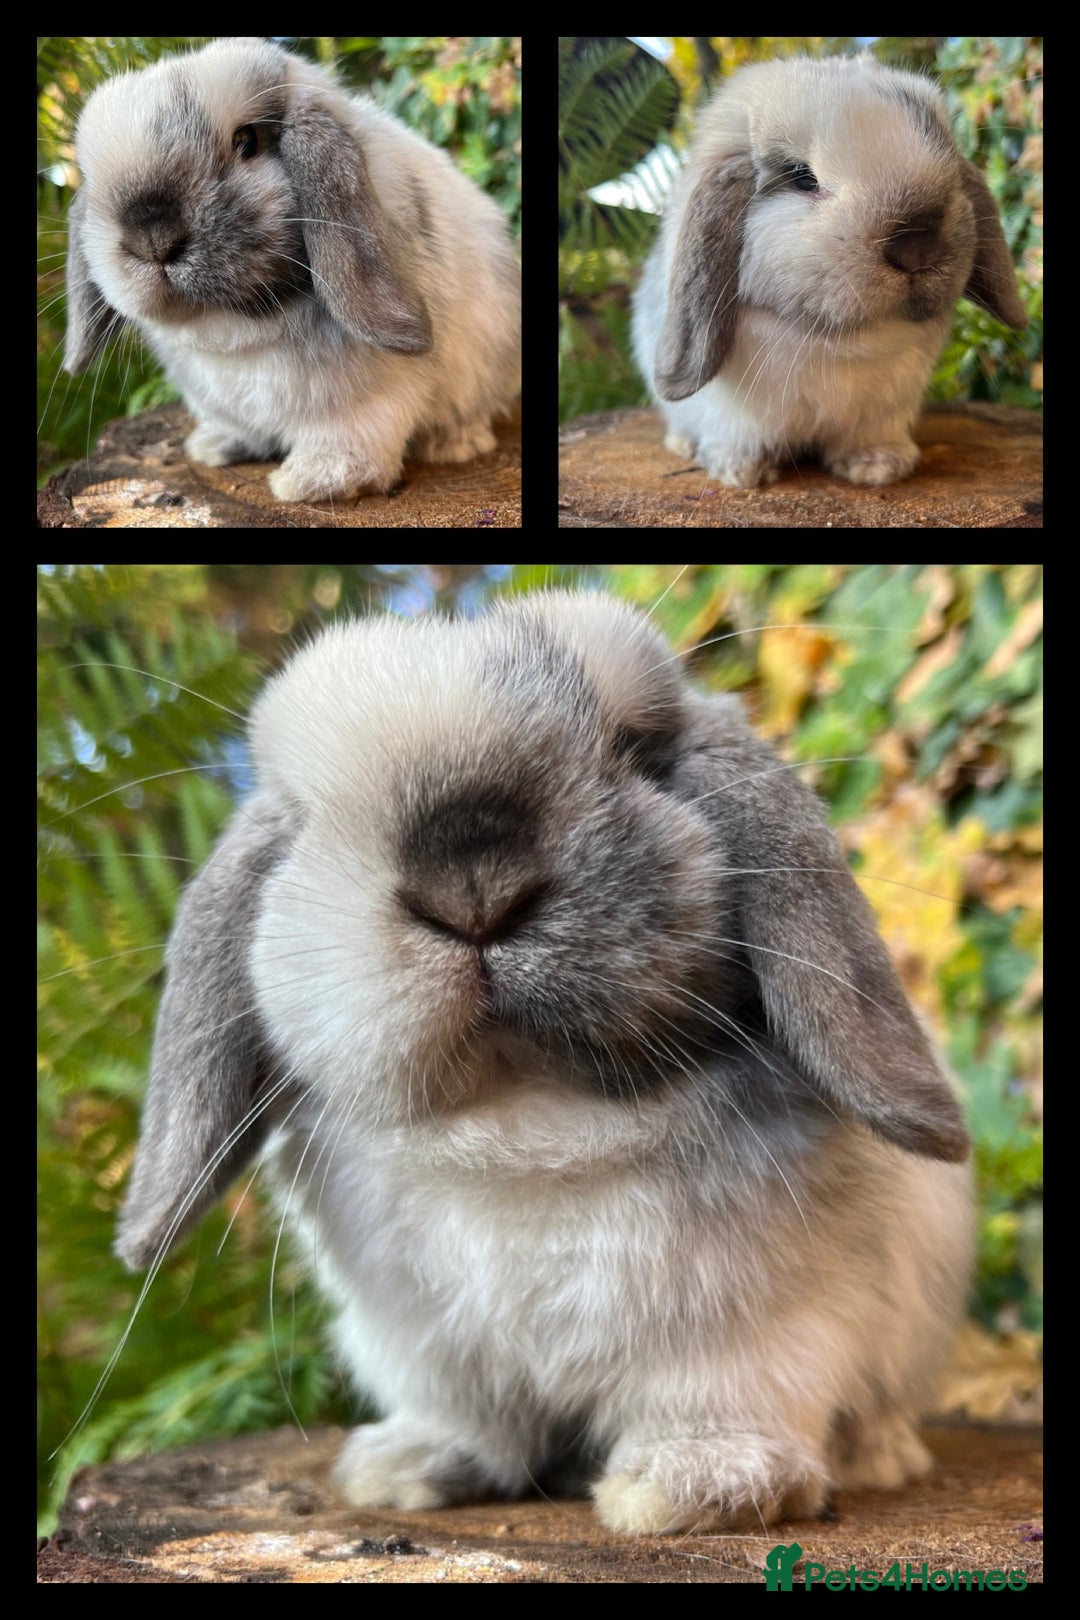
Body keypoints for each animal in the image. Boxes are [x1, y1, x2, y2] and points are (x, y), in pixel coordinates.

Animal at [63, 38, 520, 504]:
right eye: (94, 178)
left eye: (247, 141)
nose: (153, 240)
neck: (236, 332)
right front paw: (212, 447)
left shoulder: (363, 409)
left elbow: (349, 447)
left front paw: (306, 481)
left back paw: (453, 445)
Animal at [115, 591, 972, 1535]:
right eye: (304, 816)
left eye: (639, 750)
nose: (473, 887)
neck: (524, 1116)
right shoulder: (433, 1350)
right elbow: (472, 1420)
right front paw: (404, 1469)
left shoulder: (755, 1330)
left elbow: (720, 1399)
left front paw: (688, 1488)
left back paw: (876, 1456)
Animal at [632, 54, 1028, 490]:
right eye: (802, 177)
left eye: (950, 165)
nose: (916, 246)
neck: (833, 340)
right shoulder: (734, 415)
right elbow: (739, 438)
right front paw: (739, 471)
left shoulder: (882, 411)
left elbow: (868, 439)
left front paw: (879, 467)